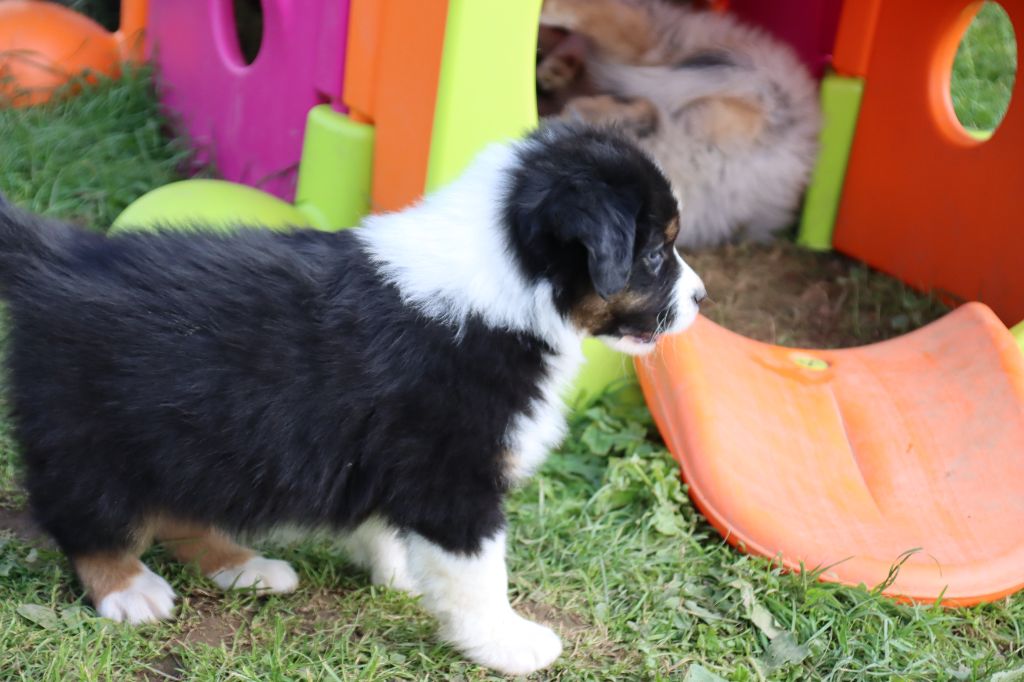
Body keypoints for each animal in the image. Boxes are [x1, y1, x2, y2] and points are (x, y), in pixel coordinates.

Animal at [0, 123, 705, 676]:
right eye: (652, 253)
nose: (701, 299)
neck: (506, 283)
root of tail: (56, 260)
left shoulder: (382, 451)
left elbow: (386, 527)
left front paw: (403, 577)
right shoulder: (453, 474)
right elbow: (478, 575)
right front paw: (508, 644)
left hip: (191, 438)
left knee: (181, 512)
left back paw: (246, 567)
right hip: (95, 434)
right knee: (85, 519)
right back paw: (130, 591)